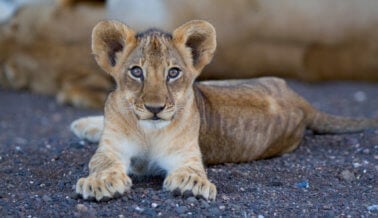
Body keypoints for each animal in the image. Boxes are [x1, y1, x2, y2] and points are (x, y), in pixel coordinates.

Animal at [71, 20, 378, 201]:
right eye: (136, 72)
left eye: (173, 73)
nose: (155, 108)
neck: (149, 132)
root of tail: (294, 94)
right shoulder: (111, 148)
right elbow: (103, 162)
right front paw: (102, 183)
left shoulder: (187, 154)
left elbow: (192, 169)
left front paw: (191, 183)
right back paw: (82, 125)